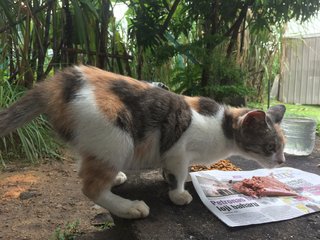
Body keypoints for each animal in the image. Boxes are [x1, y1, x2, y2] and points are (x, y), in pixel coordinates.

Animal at [0, 65, 286, 219]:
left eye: (282, 148)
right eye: (271, 147)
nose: (283, 160)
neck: (222, 126)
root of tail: (66, 78)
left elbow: (172, 171)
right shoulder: (178, 151)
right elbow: (179, 173)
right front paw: (178, 194)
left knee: (86, 164)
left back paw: (115, 178)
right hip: (118, 134)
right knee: (90, 188)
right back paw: (129, 208)